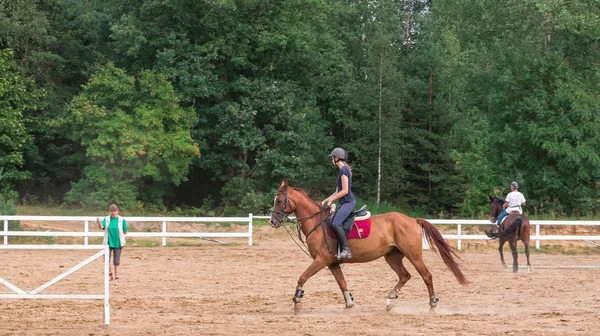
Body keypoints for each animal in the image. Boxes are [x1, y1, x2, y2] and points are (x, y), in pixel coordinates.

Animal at [268, 181, 468, 312]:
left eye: (278, 200)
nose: (272, 222)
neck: (317, 223)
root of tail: (412, 219)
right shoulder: (332, 263)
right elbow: (342, 282)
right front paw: (349, 303)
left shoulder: (321, 259)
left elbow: (302, 277)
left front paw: (297, 299)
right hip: (392, 256)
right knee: (405, 275)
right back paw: (390, 299)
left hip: (414, 255)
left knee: (426, 275)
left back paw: (432, 301)